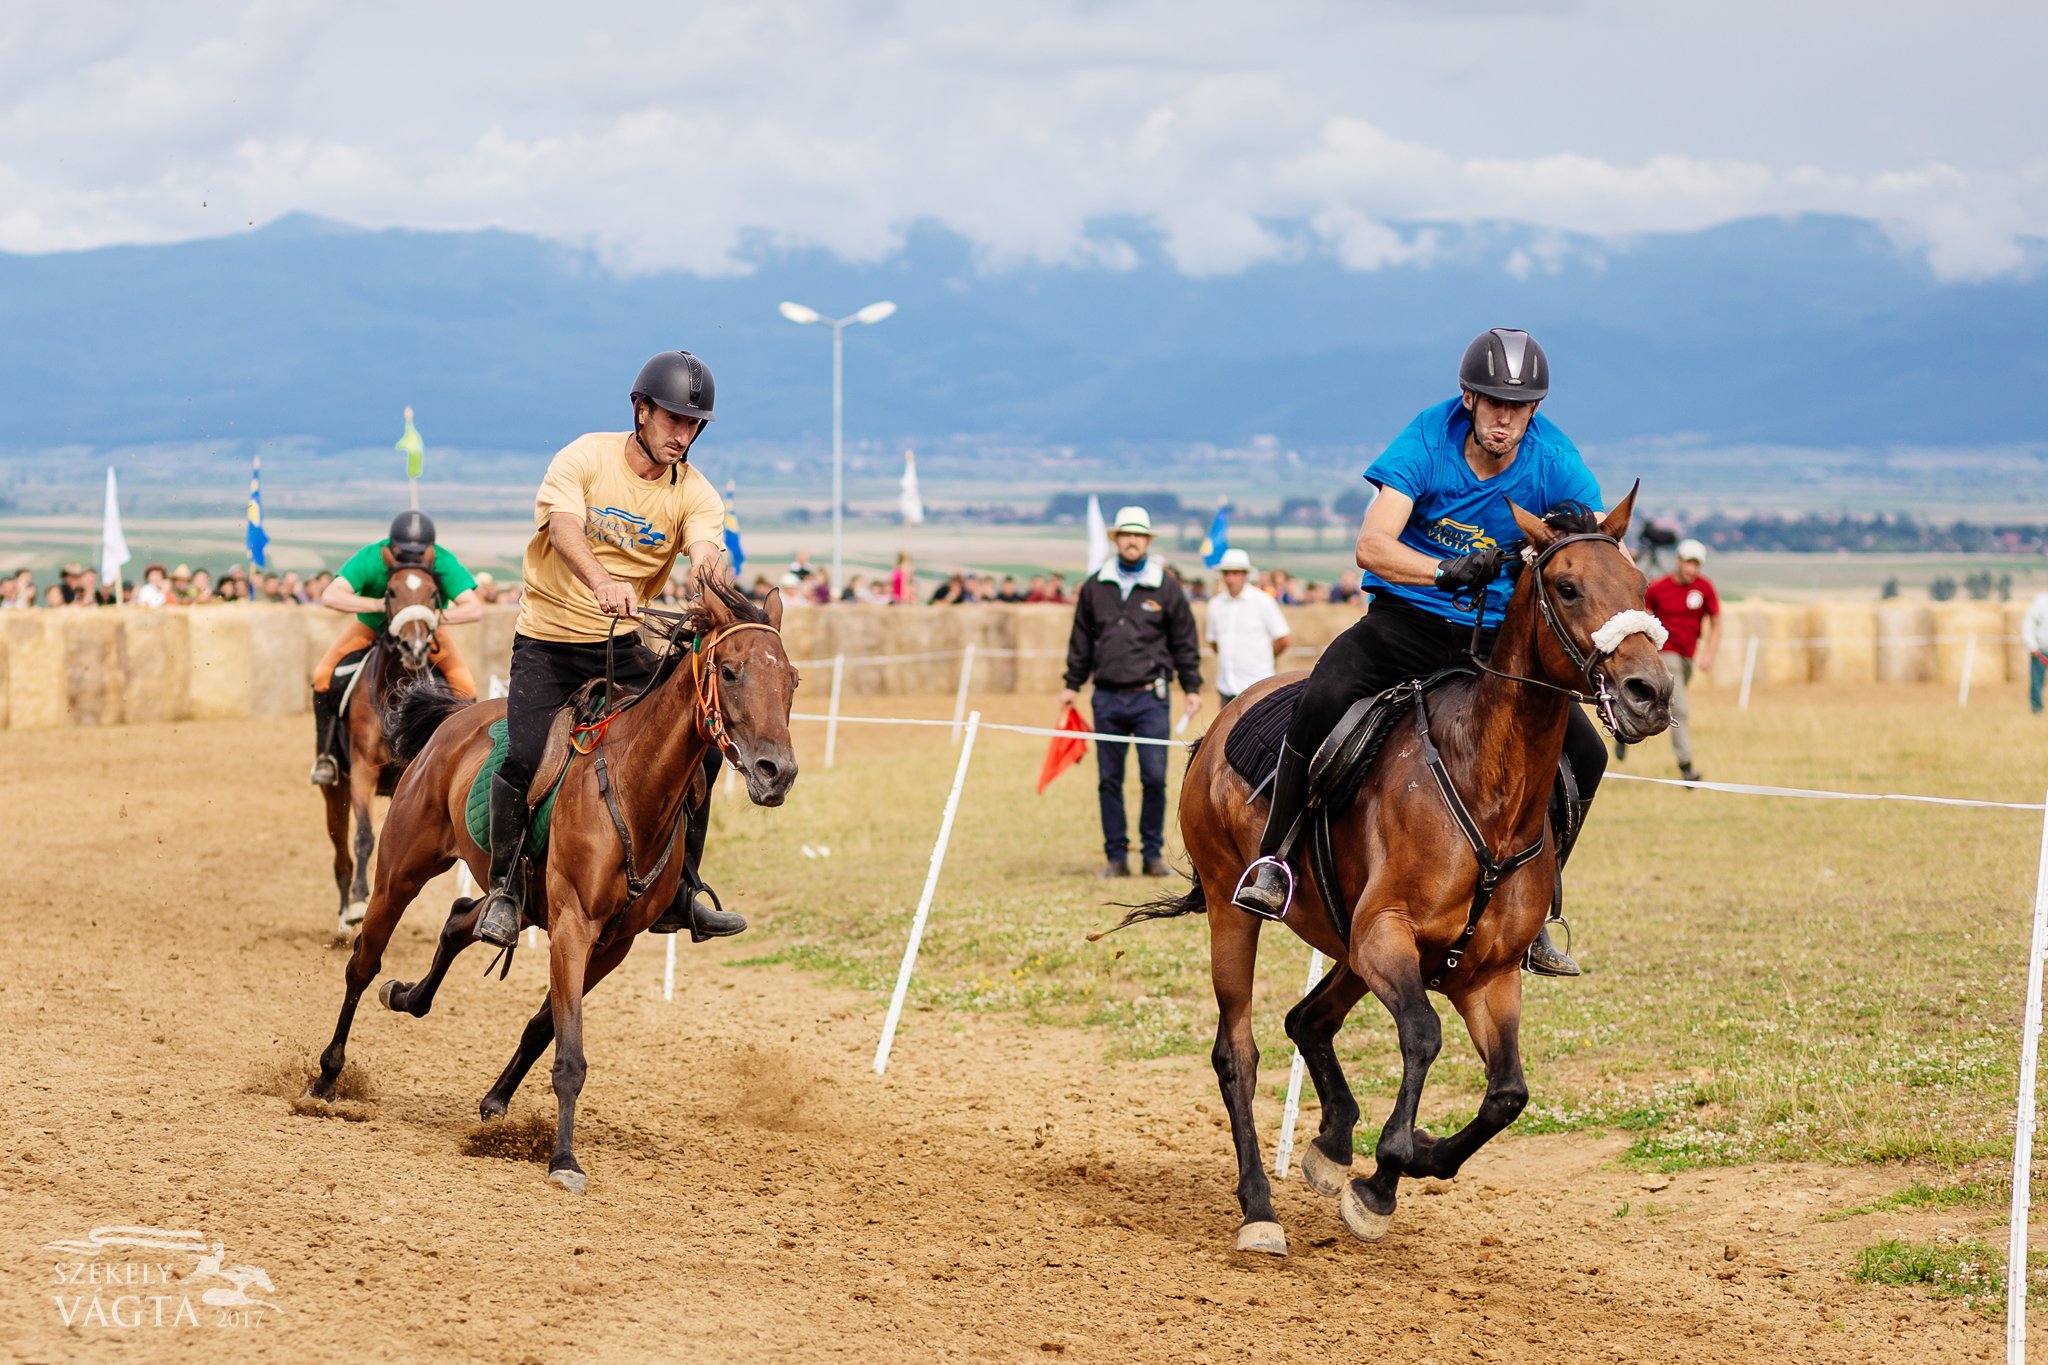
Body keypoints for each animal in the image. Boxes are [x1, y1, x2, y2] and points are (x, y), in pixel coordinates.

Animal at [321, 560, 446, 933]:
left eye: (433, 593)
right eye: (390, 591)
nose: (414, 646)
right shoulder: (363, 770)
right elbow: (364, 836)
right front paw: (359, 902)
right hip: (335, 792)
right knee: (341, 857)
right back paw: (345, 915)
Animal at [1130, 497, 1671, 1252]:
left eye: (1641, 585)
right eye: (1567, 587)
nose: (1650, 690)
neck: (1487, 787)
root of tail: (1218, 724)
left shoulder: (1486, 975)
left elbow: (1508, 1093)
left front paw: (1408, 1160)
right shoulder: (1386, 936)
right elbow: (1422, 1035)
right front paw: (1385, 1174)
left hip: (1346, 943)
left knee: (1307, 1019)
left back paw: (1332, 1144)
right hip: (1236, 911)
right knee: (1238, 1052)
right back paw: (1260, 1207)